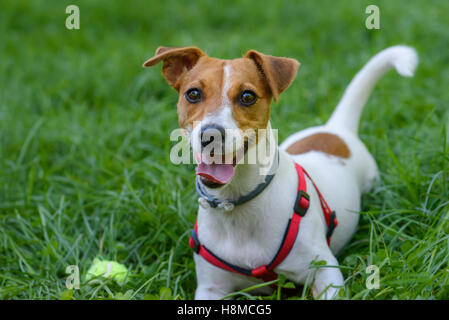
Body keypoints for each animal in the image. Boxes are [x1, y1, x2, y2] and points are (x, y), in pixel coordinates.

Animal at [143, 43, 416, 298]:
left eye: (247, 96)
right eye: (193, 94)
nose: (210, 134)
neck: (236, 202)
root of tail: (335, 129)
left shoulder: (324, 270)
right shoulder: (211, 287)